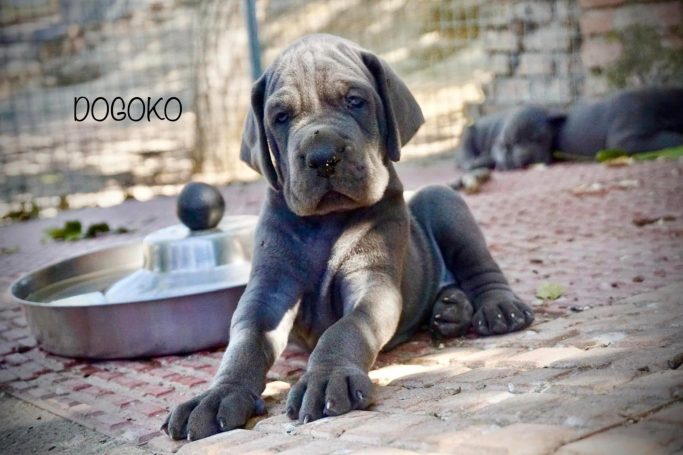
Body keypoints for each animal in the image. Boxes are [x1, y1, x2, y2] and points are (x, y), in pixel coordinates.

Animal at [164, 35, 536, 442]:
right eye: (281, 117)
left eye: (355, 101)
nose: (322, 157)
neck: (326, 224)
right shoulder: (269, 290)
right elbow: (245, 341)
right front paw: (217, 394)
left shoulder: (372, 283)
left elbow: (347, 328)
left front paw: (327, 378)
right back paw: (451, 308)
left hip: (443, 201)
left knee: (481, 268)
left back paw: (497, 308)